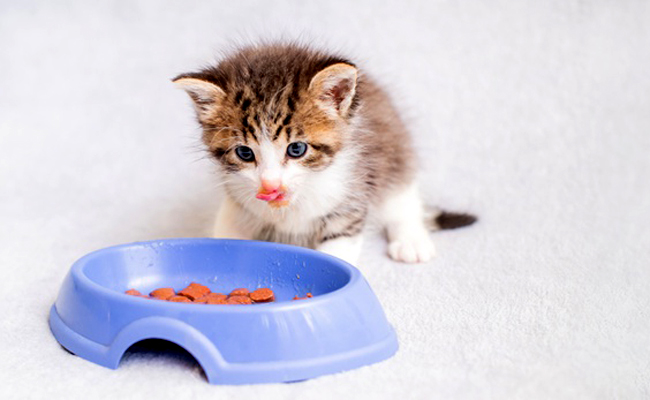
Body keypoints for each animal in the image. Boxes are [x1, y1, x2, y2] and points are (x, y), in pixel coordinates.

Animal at [173, 43, 476, 266]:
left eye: (296, 149)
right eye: (245, 153)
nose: (271, 184)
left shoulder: (351, 198)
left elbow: (338, 253)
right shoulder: (237, 201)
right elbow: (228, 232)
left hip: (394, 151)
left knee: (401, 197)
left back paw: (411, 239)